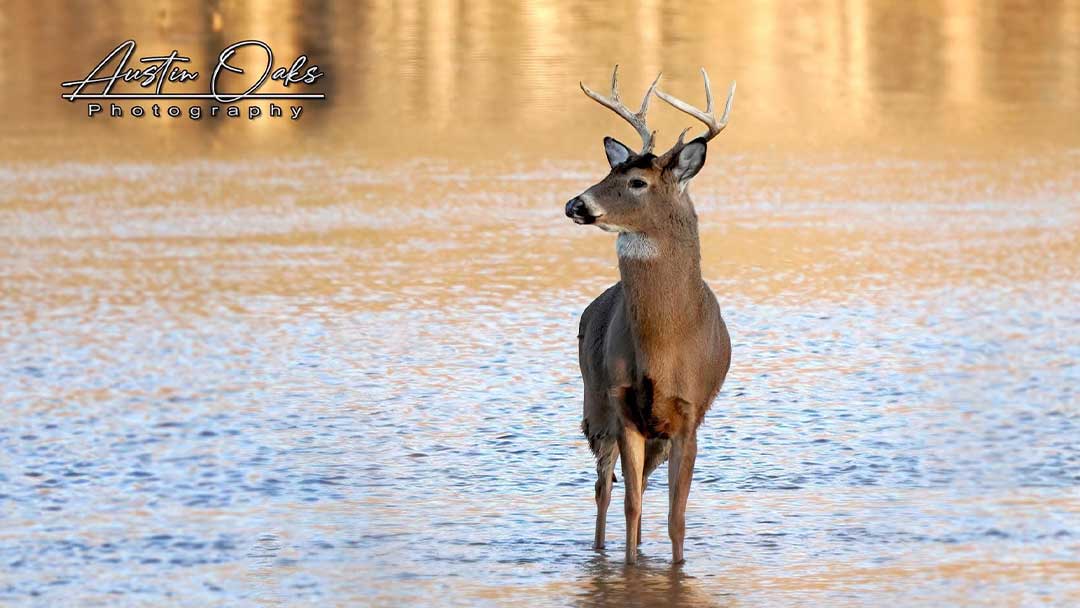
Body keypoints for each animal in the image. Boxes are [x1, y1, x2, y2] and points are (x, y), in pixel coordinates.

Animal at [565, 66, 734, 565]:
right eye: (609, 170)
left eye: (637, 182)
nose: (576, 204)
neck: (664, 342)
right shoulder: (623, 406)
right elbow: (630, 503)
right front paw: (629, 567)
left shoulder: (689, 415)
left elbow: (676, 516)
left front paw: (675, 567)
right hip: (594, 404)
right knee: (603, 488)